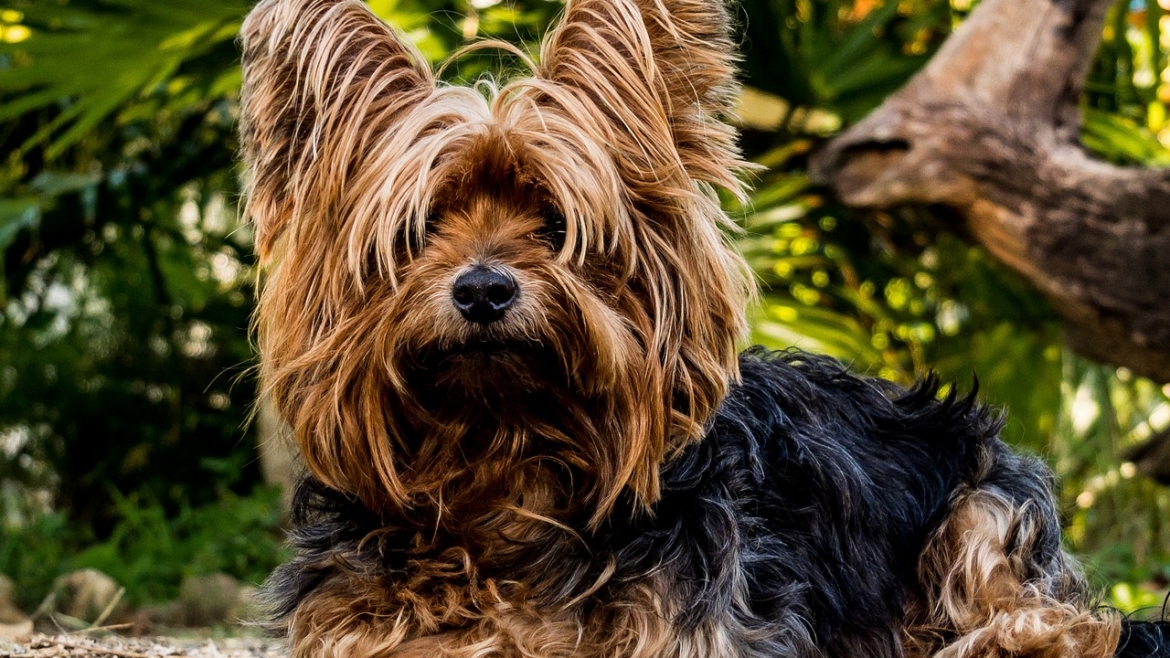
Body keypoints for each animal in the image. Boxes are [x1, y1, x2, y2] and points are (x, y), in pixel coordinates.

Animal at [239, 0, 1170, 650]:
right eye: (423, 228)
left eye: (554, 222)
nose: (483, 291)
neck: (502, 466)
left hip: (984, 503)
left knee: (1056, 623)